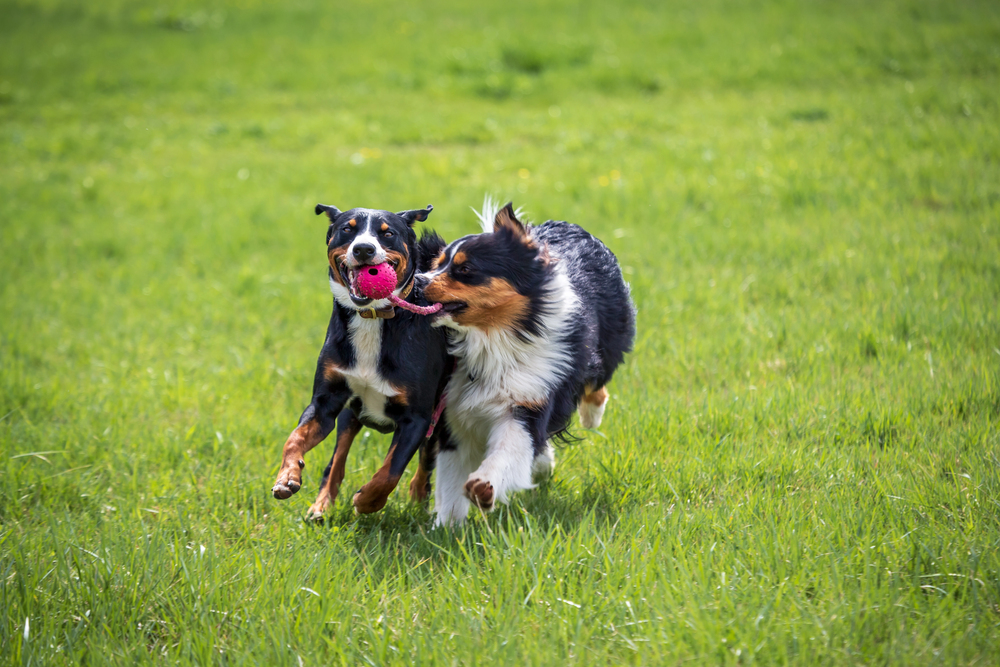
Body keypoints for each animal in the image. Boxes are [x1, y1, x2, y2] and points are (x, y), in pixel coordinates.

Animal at [270, 204, 450, 516]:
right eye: (347, 229)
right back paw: (320, 506)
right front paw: (287, 476)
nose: (364, 249)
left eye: (387, 233)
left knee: (426, 463)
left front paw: (366, 501)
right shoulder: (326, 402)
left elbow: (391, 471)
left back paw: (418, 500)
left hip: (441, 416)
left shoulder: (417, 418)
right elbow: (295, 439)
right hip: (349, 414)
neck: (372, 318)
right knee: (336, 461)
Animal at [418, 201, 636, 524]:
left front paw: (484, 486)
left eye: (466, 269)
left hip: (609, 341)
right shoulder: (453, 414)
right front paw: (447, 527)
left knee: (597, 383)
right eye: (436, 265)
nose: (418, 280)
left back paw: (591, 417)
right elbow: (451, 478)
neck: (492, 340)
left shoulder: (527, 401)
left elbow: (509, 450)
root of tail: (569, 225)